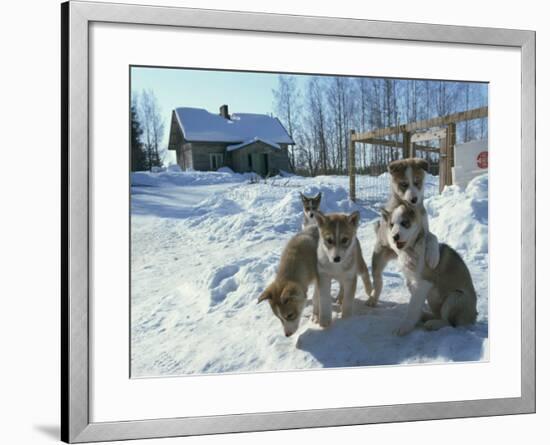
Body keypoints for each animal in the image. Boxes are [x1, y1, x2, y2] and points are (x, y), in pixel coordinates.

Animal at [368, 158, 442, 306]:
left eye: (417, 182)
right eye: (404, 184)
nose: (414, 199)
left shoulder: (424, 230)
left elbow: (433, 237)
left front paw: (433, 257)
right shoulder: (391, 231)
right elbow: (399, 243)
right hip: (378, 258)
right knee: (378, 281)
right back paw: (373, 299)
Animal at [384, 203, 478, 334]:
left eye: (404, 223)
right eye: (391, 225)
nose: (394, 237)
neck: (412, 250)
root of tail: (474, 317)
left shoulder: (423, 282)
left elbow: (413, 307)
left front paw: (404, 327)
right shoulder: (411, 282)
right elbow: (415, 304)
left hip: (456, 296)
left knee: (450, 323)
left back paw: (433, 324)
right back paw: (426, 316)